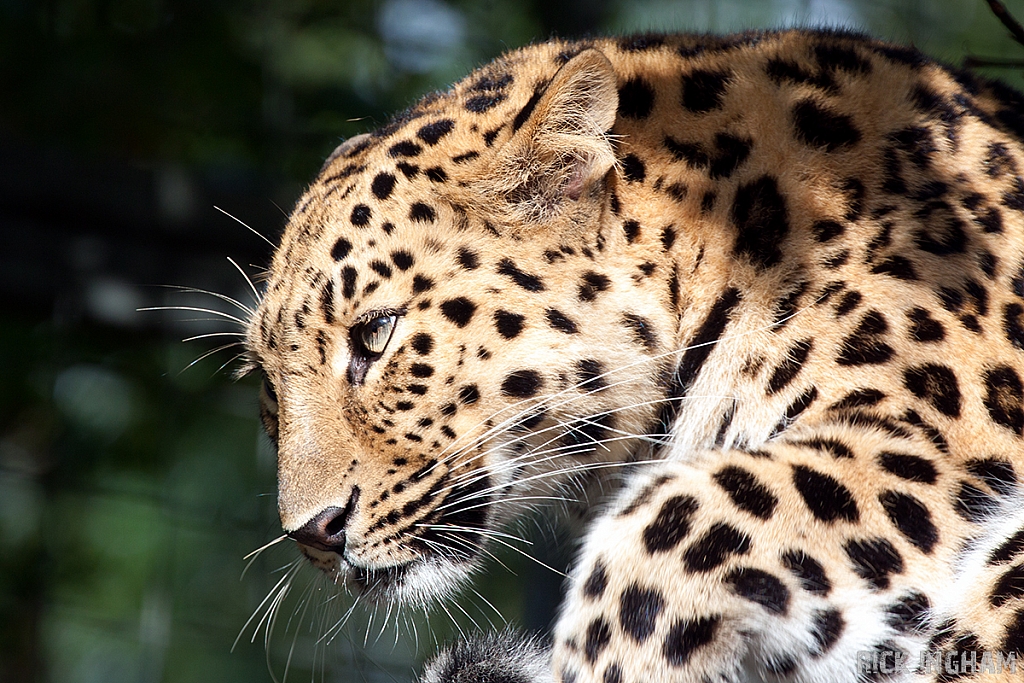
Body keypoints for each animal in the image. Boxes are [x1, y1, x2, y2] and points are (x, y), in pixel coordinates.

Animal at [241, 28, 1024, 683]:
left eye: (376, 334)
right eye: (269, 391)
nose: (313, 532)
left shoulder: (937, 433)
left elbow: (672, 522)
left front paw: (600, 660)